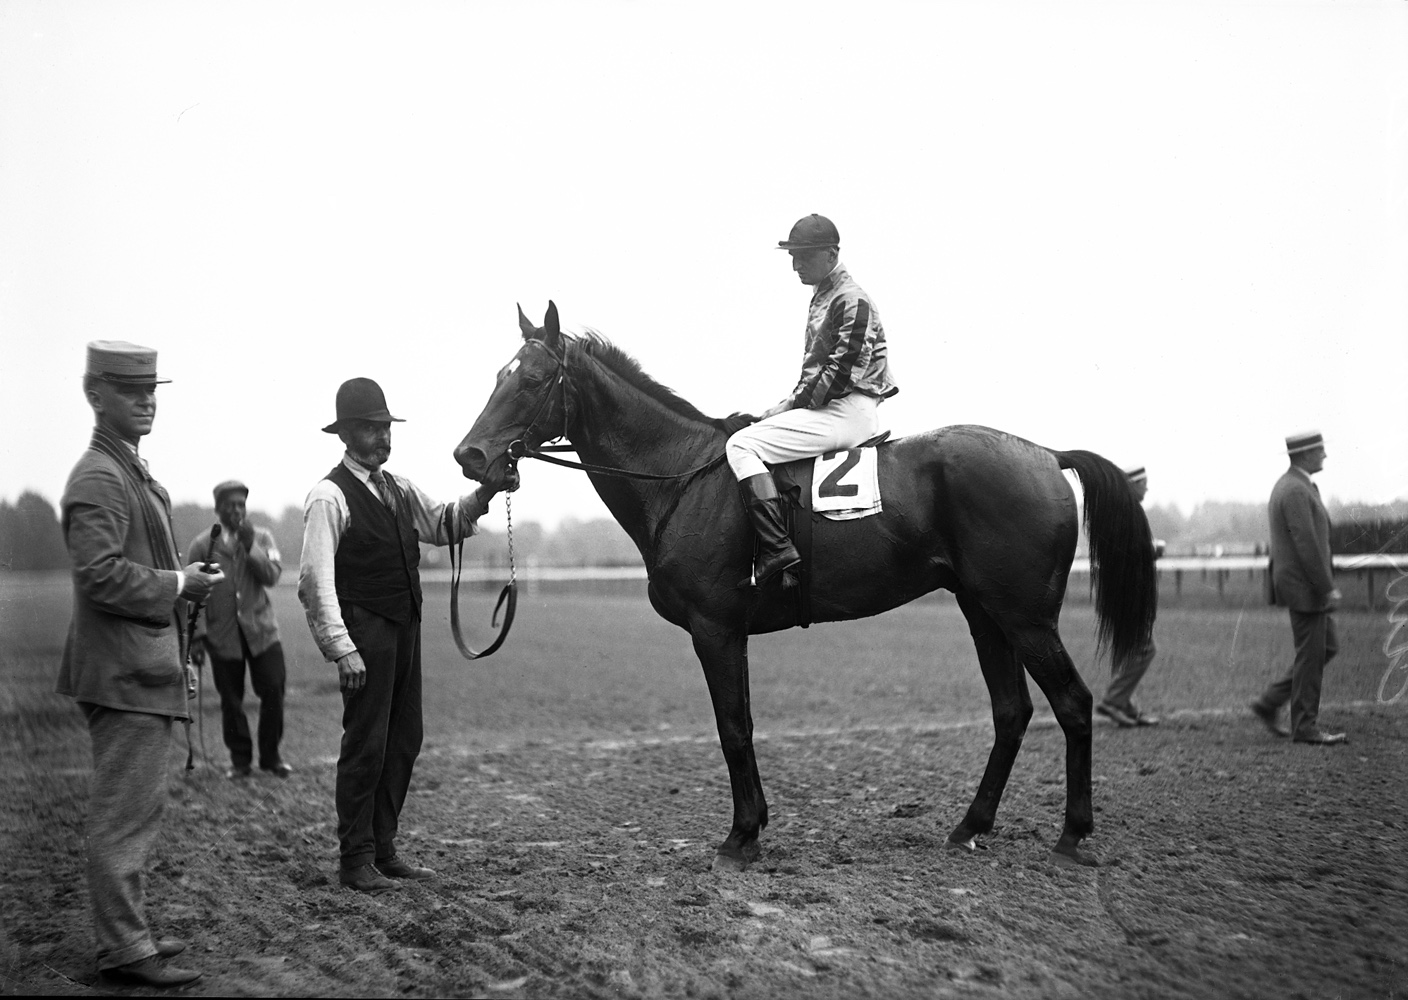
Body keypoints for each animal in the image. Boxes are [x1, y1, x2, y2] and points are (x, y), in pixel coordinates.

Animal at [453, 301, 1154, 873]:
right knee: (1012, 712)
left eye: (532, 380)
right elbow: (742, 723)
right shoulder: (729, 632)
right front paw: (754, 827)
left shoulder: (714, 628)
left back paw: (1072, 835)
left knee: (1073, 703)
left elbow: (732, 728)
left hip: (1025, 617)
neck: (682, 474)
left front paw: (740, 837)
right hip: (984, 612)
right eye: (496, 377)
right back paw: (969, 827)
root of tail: (1046, 455)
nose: (470, 457)